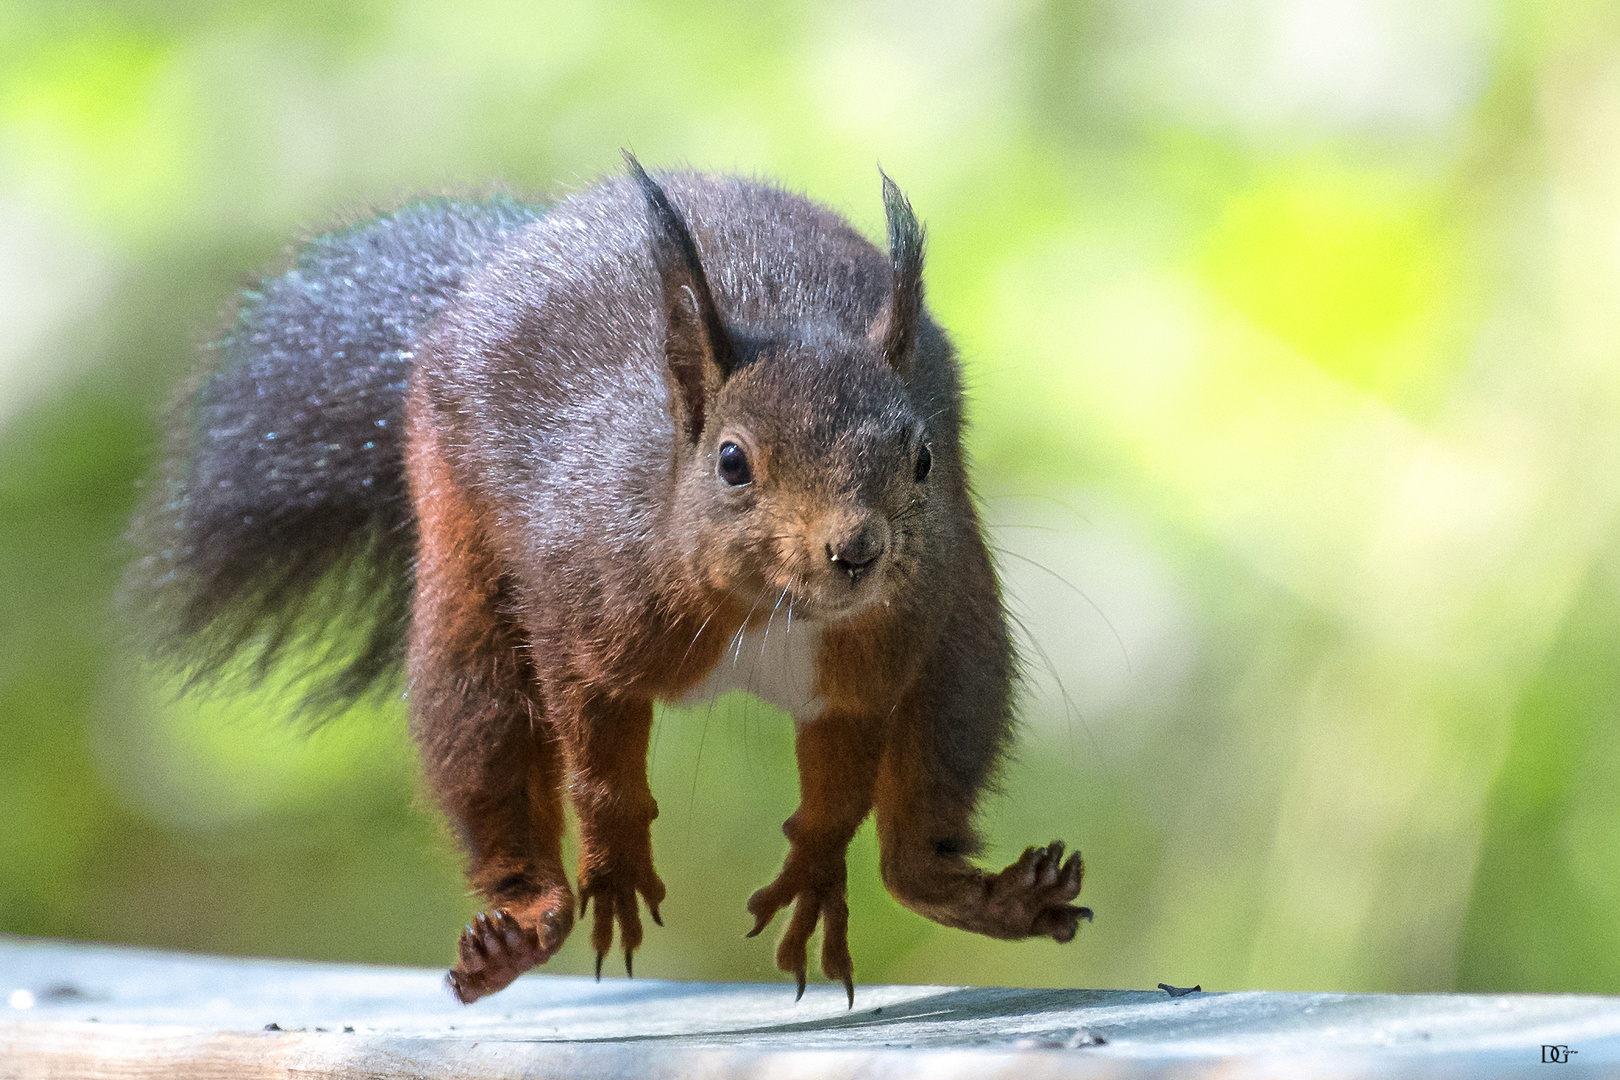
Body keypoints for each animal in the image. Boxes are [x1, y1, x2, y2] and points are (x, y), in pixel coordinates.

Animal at [126, 156, 1088, 1010]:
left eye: (921, 457)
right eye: (732, 461)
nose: (858, 551)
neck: (768, 609)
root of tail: (495, 259)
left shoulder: (867, 661)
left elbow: (839, 788)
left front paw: (813, 880)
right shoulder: (584, 609)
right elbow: (597, 761)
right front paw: (617, 865)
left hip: (962, 630)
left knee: (925, 799)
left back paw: (983, 893)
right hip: (460, 571)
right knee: (489, 740)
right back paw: (525, 920)